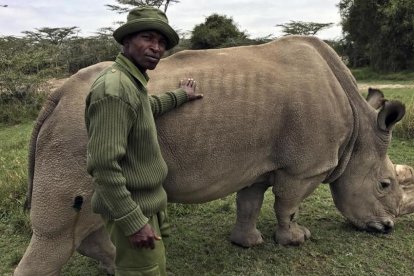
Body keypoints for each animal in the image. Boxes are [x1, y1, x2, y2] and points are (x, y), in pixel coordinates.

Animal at [14, 35, 414, 274]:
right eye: (384, 184)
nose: (387, 228)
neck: (360, 131)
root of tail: (56, 96)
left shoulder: (259, 162)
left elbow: (250, 202)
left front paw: (247, 243)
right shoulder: (304, 167)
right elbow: (288, 204)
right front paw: (297, 239)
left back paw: (122, 265)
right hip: (76, 133)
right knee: (60, 229)